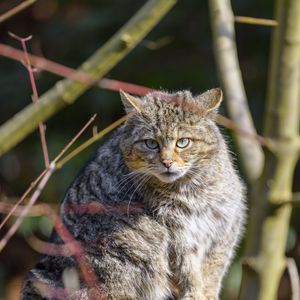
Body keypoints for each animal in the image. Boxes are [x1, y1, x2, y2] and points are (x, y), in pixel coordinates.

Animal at [21, 88, 246, 298]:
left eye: (183, 142)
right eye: (151, 143)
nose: (167, 162)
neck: (193, 189)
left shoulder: (224, 231)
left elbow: (212, 271)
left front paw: (206, 293)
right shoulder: (178, 237)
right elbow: (188, 270)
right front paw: (195, 294)